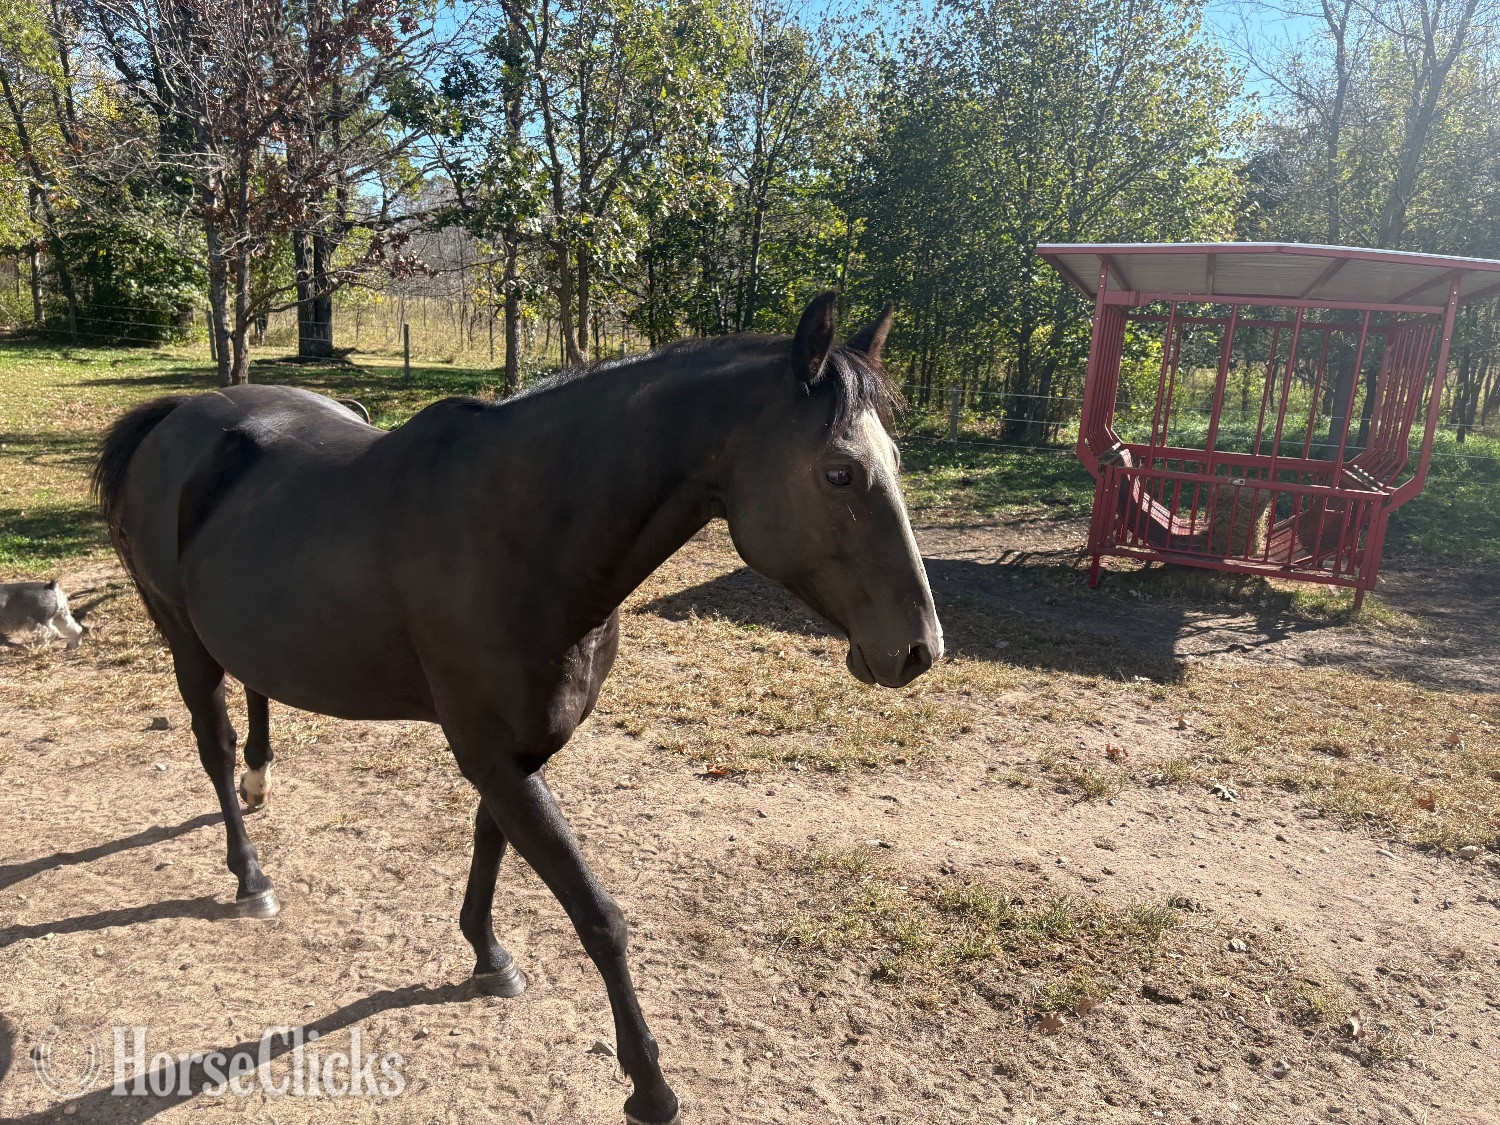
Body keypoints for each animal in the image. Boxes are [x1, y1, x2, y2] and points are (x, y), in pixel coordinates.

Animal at [91, 292, 942, 1124]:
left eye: (893, 463)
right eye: (839, 472)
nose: (918, 649)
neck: (523, 536)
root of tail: (175, 416)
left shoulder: (517, 752)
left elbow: (491, 842)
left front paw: (487, 954)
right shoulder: (493, 754)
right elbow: (597, 914)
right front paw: (650, 1084)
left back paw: (261, 782)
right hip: (183, 640)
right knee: (213, 742)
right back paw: (249, 875)